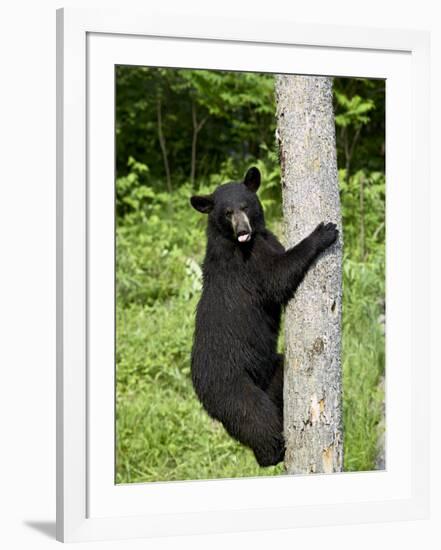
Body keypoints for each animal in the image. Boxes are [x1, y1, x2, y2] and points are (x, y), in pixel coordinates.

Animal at [189, 166, 336, 468]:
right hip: (231, 386)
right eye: (227, 212)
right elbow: (278, 275)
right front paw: (324, 232)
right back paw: (273, 452)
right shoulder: (246, 264)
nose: (243, 231)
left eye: (245, 206)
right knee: (254, 417)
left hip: (269, 370)